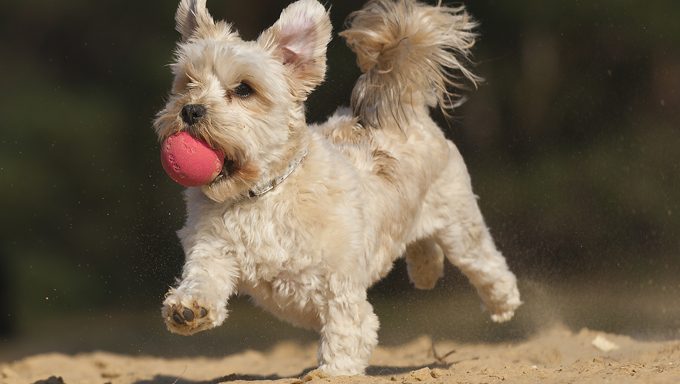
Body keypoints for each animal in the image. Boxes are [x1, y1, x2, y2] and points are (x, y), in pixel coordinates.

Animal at [155, 0, 520, 376]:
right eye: (188, 82)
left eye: (244, 89)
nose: (191, 109)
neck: (261, 196)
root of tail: (406, 109)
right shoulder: (213, 248)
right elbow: (205, 276)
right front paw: (189, 308)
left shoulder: (338, 284)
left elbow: (347, 328)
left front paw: (331, 372)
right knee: (423, 244)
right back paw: (426, 271)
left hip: (458, 221)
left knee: (485, 262)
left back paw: (502, 302)